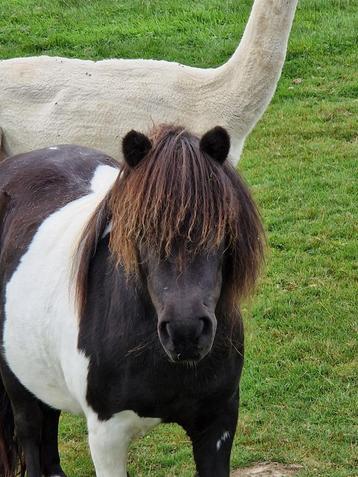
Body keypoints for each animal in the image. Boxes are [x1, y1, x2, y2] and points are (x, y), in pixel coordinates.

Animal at [0, 125, 262, 476]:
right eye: (141, 231)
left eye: (221, 226)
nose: (185, 333)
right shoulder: (107, 436)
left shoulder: (218, 423)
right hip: (16, 380)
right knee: (30, 430)